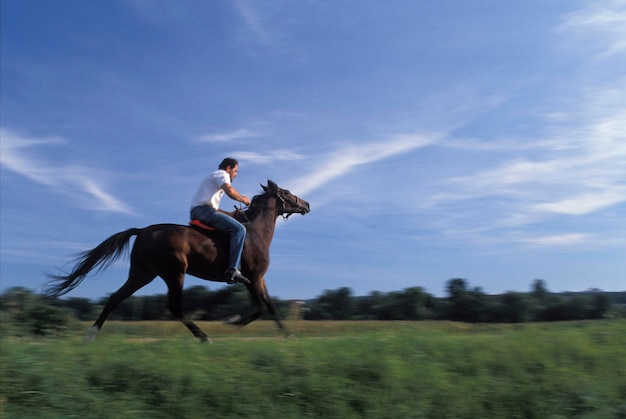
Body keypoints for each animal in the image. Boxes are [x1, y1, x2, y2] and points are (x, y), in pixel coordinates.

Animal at [46, 179, 310, 342]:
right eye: (287, 193)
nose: (306, 204)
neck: (255, 232)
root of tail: (142, 231)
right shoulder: (253, 277)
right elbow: (263, 308)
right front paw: (233, 321)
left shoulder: (258, 279)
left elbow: (269, 307)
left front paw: (288, 335)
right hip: (174, 273)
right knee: (174, 306)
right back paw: (204, 337)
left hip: (143, 273)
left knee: (115, 298)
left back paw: (90, 335)